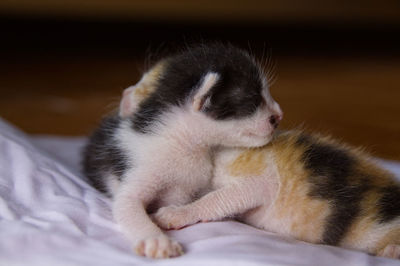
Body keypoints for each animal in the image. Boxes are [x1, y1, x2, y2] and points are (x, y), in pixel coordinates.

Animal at [82, 43, 282, 258]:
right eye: (254, 99)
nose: (279, 115)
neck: (182, 143)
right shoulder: (136, 169)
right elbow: (127, 206)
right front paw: (155, 239)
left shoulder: (183, 191)